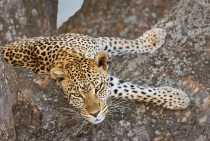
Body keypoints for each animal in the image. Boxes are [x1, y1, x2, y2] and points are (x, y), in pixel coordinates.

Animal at [0, 28, 190, 123]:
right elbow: (134, 90)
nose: (95, 114)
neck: (71, 57)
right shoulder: (110, 81)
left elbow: (119, 42)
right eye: (77, 96)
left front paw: (151, 38)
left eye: (98, 89)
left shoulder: (98, 45)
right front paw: (176, 98)